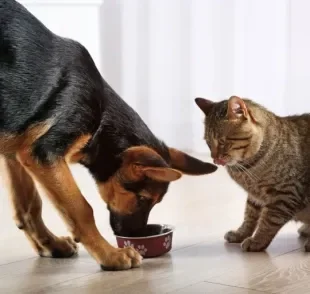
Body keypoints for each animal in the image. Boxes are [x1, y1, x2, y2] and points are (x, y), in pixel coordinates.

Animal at [0, 0, 218, 272]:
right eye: (143, 199)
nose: (137, 236)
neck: (101, 119)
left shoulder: (16, 148)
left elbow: (29, 205)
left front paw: (49, 244)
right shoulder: (44, 153)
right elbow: (82, 209)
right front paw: (110, 255)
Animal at [195, 95, 310, 252]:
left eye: (222, 142)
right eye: (208, 143)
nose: (215, 159)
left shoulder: (285, 194)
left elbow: (269, 221)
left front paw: (257, 241)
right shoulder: (255, 197)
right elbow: (249, 216)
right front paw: (241, 234)